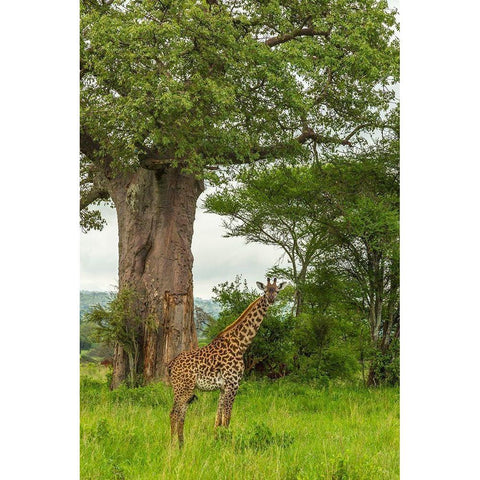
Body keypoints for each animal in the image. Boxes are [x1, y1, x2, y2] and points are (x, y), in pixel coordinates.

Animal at [167, 278, 284, 446]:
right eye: (266, 290)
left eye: (277, 290)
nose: (271, 299)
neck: (241, 344)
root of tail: (171, 364)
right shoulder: (233, 384)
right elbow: (227, 418)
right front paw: (227, 444)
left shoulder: (223, 388)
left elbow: (218, 418)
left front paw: (216, 441)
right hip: (182, 388)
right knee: (174, 413)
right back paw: (172, 445)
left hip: (185, 389)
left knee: (181, 414)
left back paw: (182, 445)